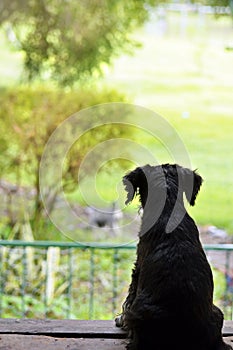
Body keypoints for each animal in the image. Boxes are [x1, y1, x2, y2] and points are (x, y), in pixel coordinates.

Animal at [116, 164, 231, 350]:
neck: (168, 208)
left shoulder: (138, 268)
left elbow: (129, 296)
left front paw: (120, 320)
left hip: (139, 313)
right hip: (217, 313)